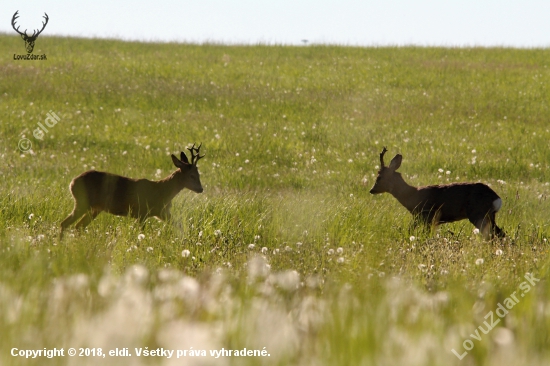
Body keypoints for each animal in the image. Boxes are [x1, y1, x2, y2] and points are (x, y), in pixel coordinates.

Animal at [60, 143, 206, 240]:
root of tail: (72, 183)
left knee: (78, 226)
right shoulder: (142, 213)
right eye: (191, 176)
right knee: (65, 223)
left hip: (95, 208)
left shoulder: (161, 212)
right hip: (82, 202)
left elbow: (180, 226)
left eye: (198, 174)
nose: (200, 189)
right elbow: (141, 233)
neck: (162, 191)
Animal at [370, 147, 504, 239]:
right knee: (500, 233)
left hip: (478, 213)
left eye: (379, 177)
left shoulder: (426, 215)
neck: (412, 195)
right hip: (489, 215)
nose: (371, 190)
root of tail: (496, 198)